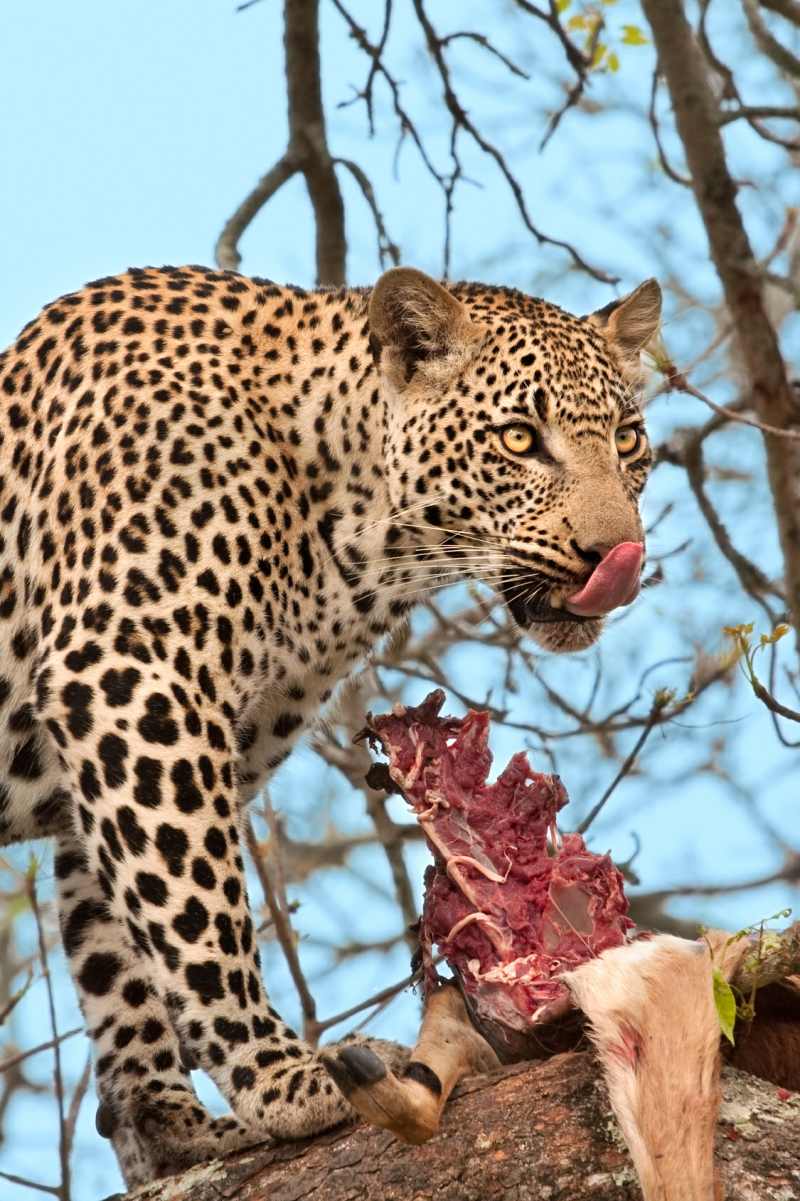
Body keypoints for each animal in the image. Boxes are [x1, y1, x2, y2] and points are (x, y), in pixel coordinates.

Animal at [0, 263, 660, 1186]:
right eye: (521, 438)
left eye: (629, 441)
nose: (618, 556)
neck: (350, 540)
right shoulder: (127, 677)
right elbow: (199, 915)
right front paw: (283, 1077)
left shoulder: (126, 757)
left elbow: (122, 958)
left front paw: (172, 1128)